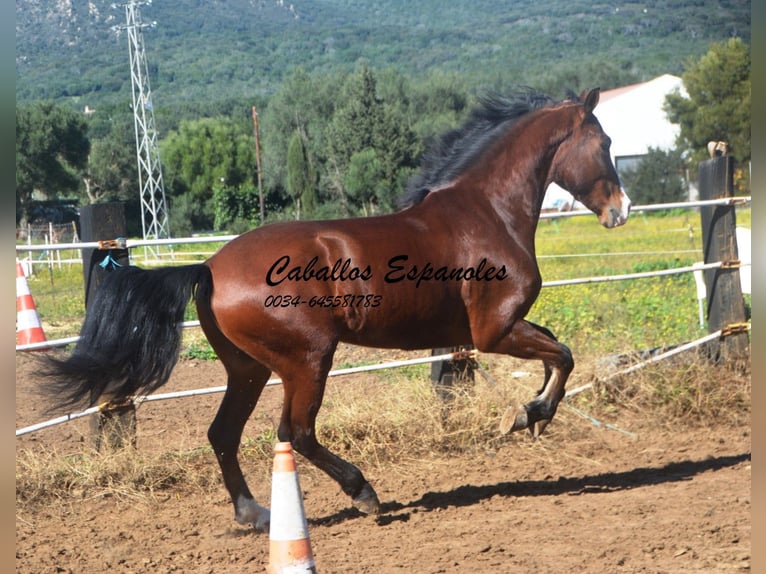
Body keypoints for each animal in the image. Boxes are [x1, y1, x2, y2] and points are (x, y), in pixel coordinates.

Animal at [43, 88, 632, 532]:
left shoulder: (495, 332)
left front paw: (531, 413)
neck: (487, 212)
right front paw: (530, 415)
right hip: (307, 360)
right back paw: (363, 493)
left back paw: (254, 513)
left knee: (224, 434)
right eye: (604, 142)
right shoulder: (496, 330)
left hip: (248, 368)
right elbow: (563, 354)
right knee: (295, 432)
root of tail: (208, 267)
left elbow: (557, 352)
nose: (620, 211)